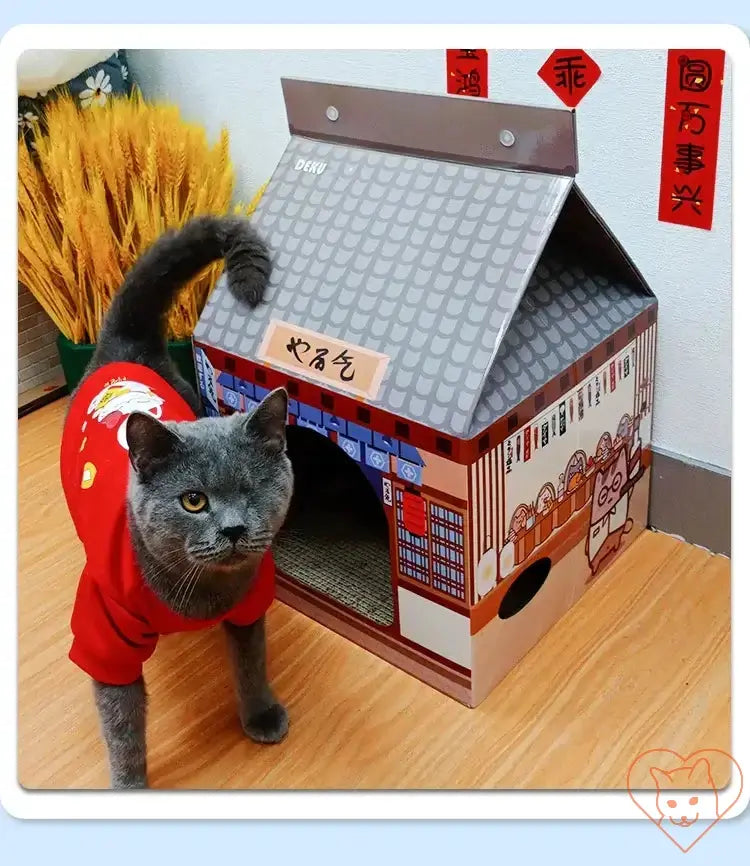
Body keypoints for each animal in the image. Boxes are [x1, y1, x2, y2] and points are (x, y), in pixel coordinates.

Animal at [61, 214, 294, 784]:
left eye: (251, 490)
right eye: (193, 501)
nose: (233, 528)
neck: (202, 596)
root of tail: (125, 342)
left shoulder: (249, 604)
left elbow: (251, 663)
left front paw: (260, 716)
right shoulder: (105, 638)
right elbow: (122, 724)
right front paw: (129, 784)